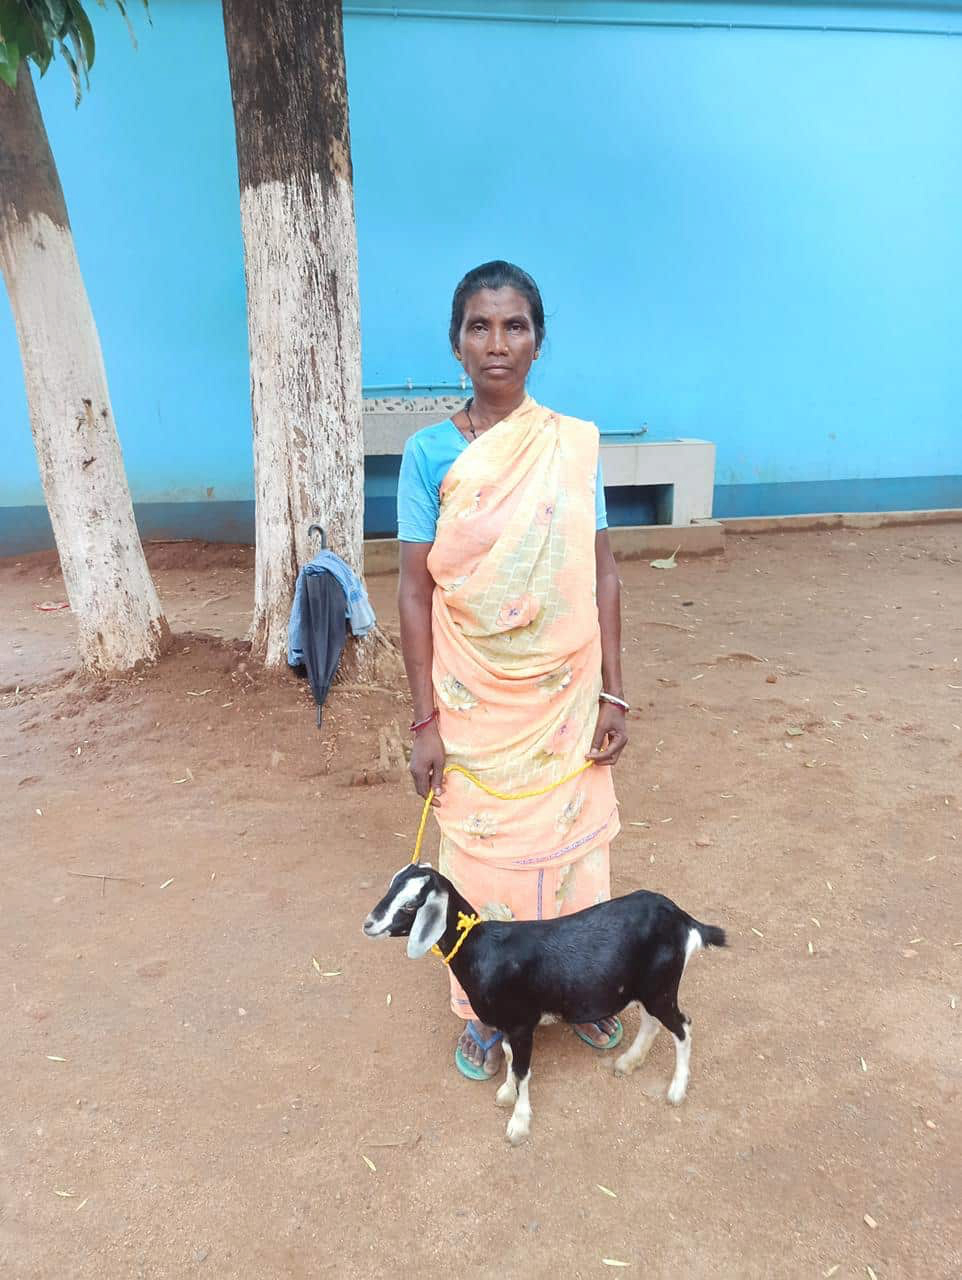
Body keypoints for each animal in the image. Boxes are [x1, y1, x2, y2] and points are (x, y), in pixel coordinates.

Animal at [363, 863, 726, 1144]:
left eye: (411, 905)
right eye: (392, 887)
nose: (368, 924)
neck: (481, 949)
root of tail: (683, 920)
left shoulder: (522, 1024)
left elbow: (523, 1070)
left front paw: (518, 1124)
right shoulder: (508, 1024)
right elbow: (509, 1057)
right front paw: (506, 1093)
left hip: (661, 986)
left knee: (683, 1027)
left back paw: (676, 1090)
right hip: (645, 988)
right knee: (653, 1023)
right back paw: (628, 1062)